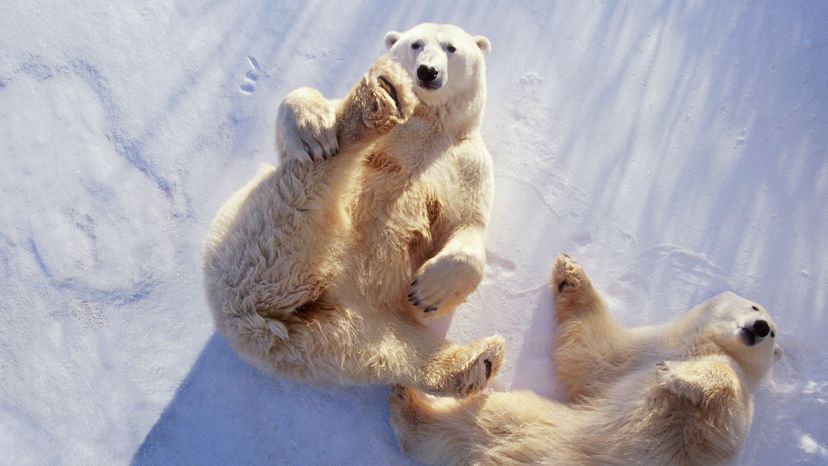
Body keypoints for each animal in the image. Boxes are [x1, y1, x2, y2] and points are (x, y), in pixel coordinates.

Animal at [206, 24, 504, 396]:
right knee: (305, 183)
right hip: (258, 237)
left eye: (451, 48)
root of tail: (255, 326)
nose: (427, 72)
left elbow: (468, 224)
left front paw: (428, 292)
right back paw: (380, 98)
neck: (429, 122)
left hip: (346, 331)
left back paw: (477, 362)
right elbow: (296, 122)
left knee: (395, 350)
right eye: (415, 44)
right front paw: (311, 126)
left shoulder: (467, 161)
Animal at [392, 255, 780, 466]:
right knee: (473, 422)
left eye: (774, 331)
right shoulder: (641, 355)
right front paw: (569, 274)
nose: (761, 327)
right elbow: (592, 354)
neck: (696, 347)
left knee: (476, 420)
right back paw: (407, 399)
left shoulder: (728, 428)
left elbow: (726, 392)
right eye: (754, 307)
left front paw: (677, 376)